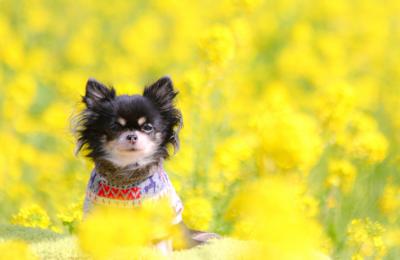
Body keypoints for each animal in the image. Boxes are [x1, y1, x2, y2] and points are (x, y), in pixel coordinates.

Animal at [75, 76, 219, 253]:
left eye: (148, 127)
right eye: (115, 127)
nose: (131, 136)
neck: (127, 171)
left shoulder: (159, 217)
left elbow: (160, 244)